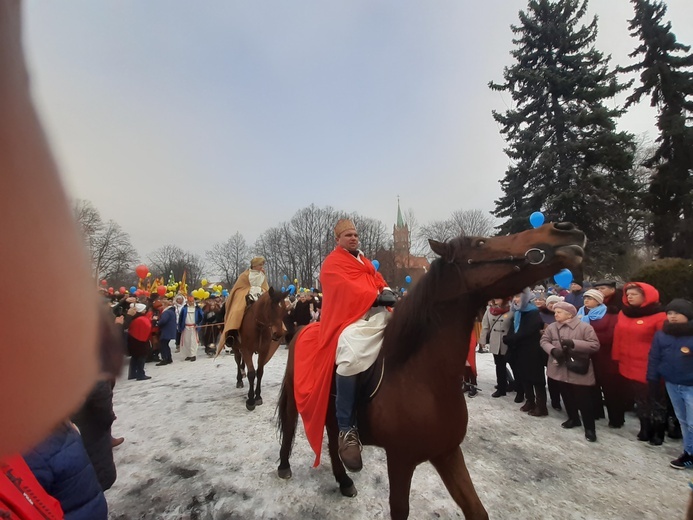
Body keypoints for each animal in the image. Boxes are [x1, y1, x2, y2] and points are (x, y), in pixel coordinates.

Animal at [276, 222, 584, 520]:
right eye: (480, 243)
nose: (565, 229)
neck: (426, 380)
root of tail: (303, 329)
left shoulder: (448, 453)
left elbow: (476, 510)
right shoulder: (400, 459)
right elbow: (400, 508)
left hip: (327, 411)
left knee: (331, 441)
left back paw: (344, 481)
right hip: (296, 399)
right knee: (290, 427)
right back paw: (284, 466)